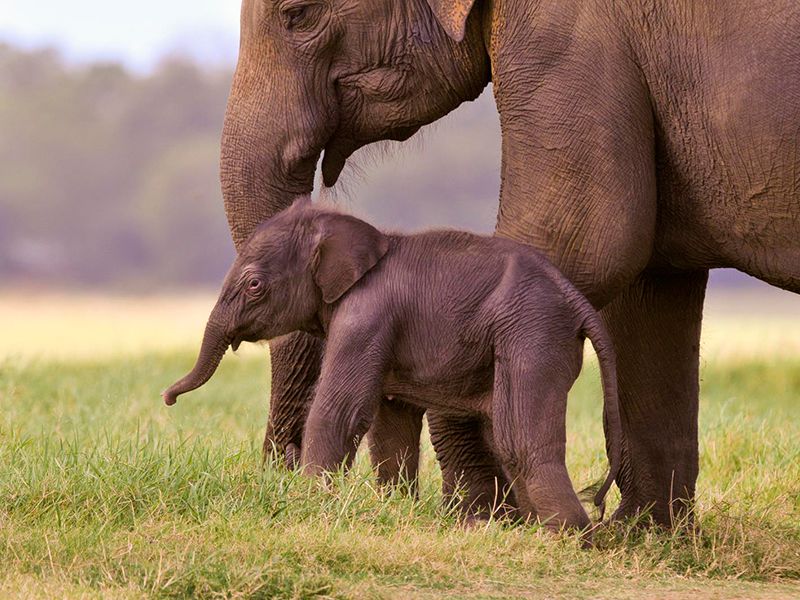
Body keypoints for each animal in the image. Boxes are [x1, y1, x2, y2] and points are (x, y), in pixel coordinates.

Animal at [163, 200, 622, 530]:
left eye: (255, 285)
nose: (168, 398)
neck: (360, 232)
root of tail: (576, 299)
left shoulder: (365, 316)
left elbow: (341, 410)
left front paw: (309, 505)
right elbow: (390, 423)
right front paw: (396, 509)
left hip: (533, 332)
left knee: (518, 436)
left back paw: (565, 537)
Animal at [219, 0, 800, 526]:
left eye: (298, 15)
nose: (281, 474)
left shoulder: (569, 36)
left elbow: (585, 238)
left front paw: (480, 517)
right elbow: (651, 283)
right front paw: (647, 536)